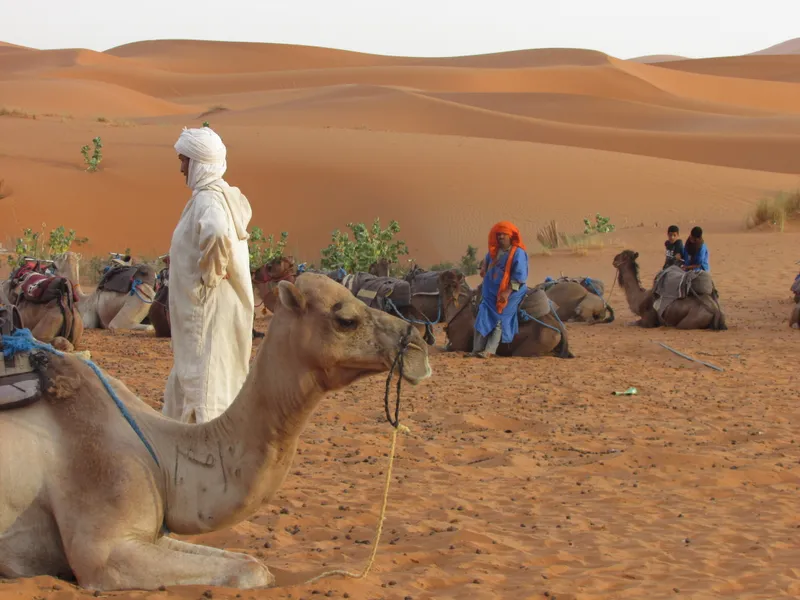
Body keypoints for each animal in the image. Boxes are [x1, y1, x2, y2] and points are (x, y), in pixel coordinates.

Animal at [0, 274, 432, 592]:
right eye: (346, 319)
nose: (418, 348)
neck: (160, 448)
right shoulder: (104, 549)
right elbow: (253, 571)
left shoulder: (150, 533)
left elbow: (249, 561)